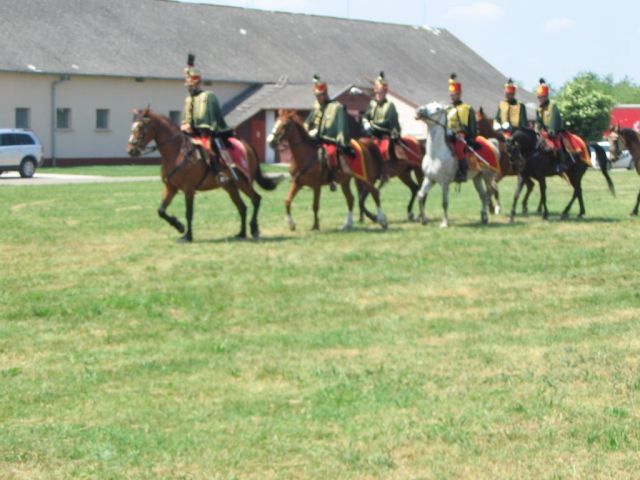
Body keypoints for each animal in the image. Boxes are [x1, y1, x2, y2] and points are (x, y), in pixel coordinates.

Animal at [127, 107, 281, 242]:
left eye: (140, 127)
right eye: (132, 127)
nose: (131, 149)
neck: (177, 151)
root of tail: (247, 146)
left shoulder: (189, 189)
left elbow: (189, 213)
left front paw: (188, 237)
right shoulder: (170, 188)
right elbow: (161, 211)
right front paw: (179, 227)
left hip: (243, 182)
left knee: (256, 199)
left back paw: (254, 229)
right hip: (230, 186)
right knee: (242, 207)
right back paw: (241, 234)